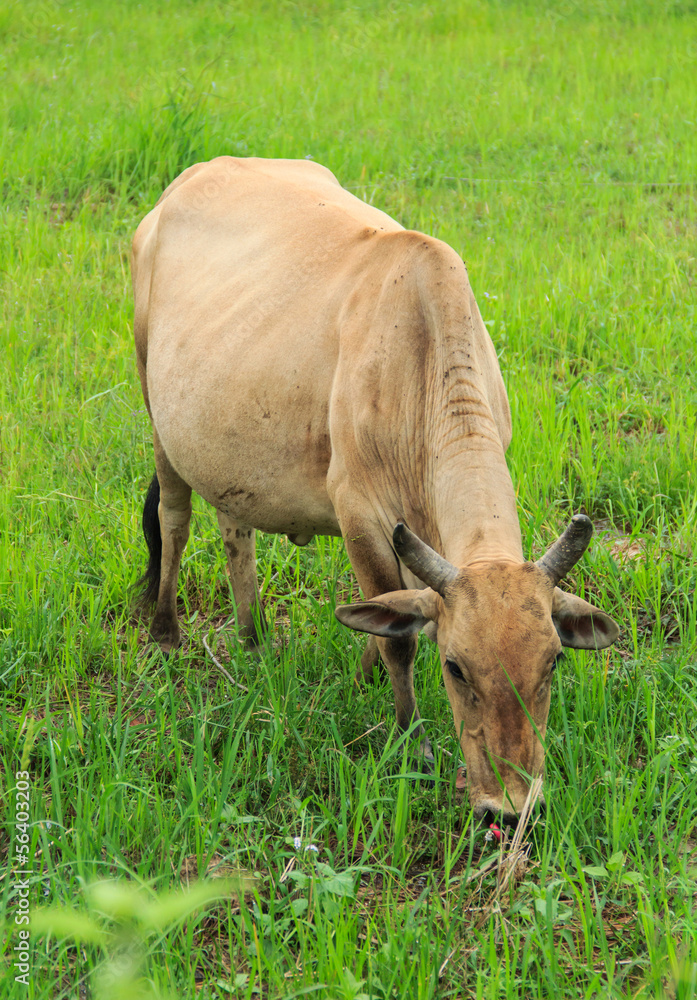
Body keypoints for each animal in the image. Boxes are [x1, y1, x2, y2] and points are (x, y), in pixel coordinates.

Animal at [132, 156, 620, 824]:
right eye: (456, 668)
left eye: (554, 661)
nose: (509, 808)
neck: (422, 365)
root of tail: (187, 180)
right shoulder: (360, 513)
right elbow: (400, 642)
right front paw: (410, 736)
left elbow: (394, 612)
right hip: (158, 418)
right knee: (175, 521)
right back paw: (166, 632)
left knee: (236, 533)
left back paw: (254, 639)